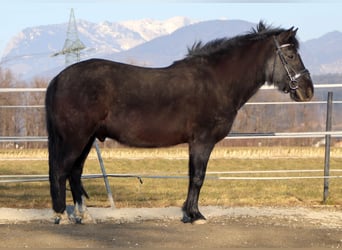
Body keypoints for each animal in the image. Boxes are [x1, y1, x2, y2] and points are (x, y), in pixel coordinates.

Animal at [46, 22, 316, 225]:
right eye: (291, 55)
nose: (308, 91)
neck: (217, 81)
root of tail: (60, 77)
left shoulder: (195, 144)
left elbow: (191, 176)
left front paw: (189, 213)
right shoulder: (202, 142)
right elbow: (197, 177)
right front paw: (195, 215)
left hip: (87, 138)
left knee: (75, 172)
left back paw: (84, 215)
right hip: (76, 138)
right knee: (61, 170)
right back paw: (61, 215)